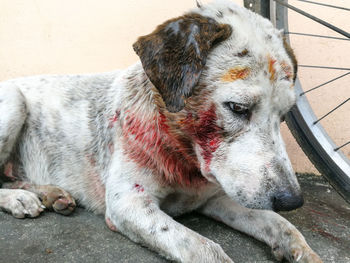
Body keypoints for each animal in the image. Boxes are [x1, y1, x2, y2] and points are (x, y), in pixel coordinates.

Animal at [0, 1, 322, 262]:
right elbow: (206, 249)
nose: (292, 201)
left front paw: (302, 250)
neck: (182, 151)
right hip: (13, 103)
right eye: (238, 108)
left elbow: (279, 223)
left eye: (284, 115)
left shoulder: (218, 197)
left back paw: (50, 194)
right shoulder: (129, 203)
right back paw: (19, 200)